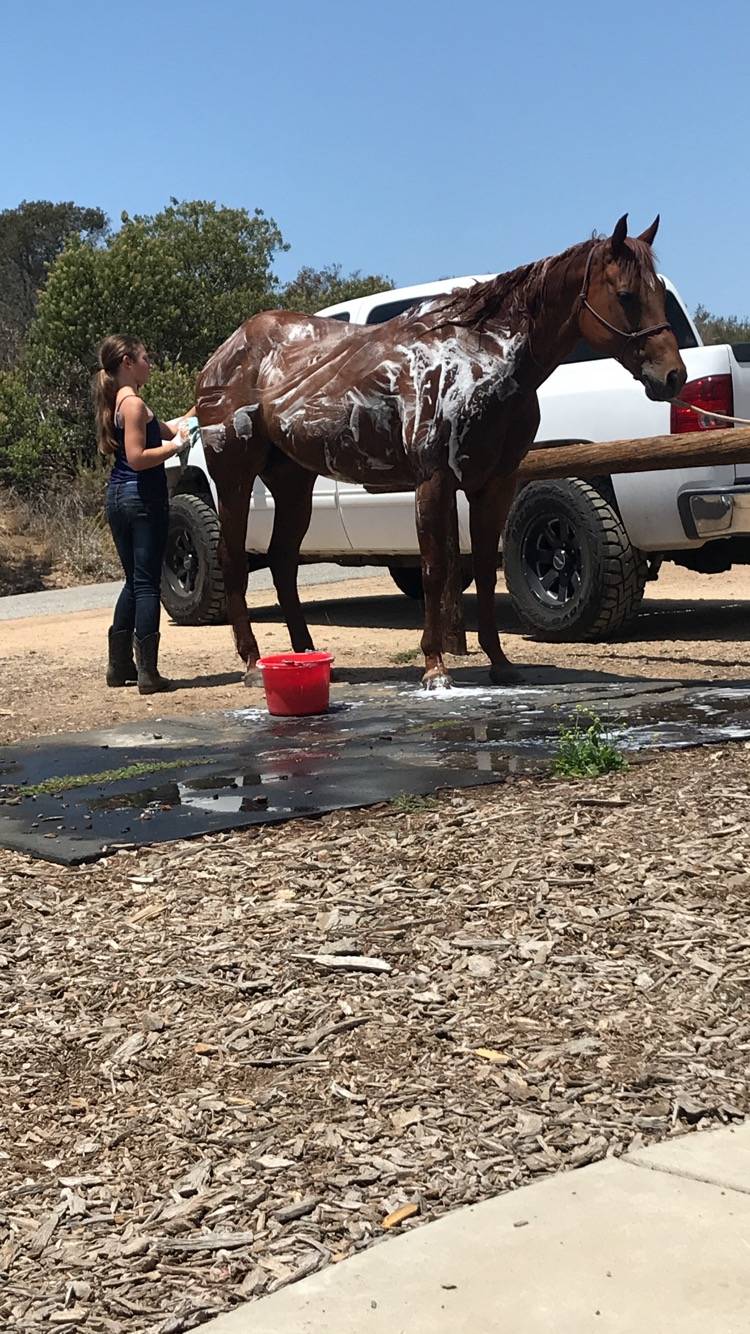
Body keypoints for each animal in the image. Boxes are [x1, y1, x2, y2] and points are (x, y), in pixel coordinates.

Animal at [192, 217, 683, 688]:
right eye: (626, 295)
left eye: (659, 294)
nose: (672, 376)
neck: (480, 358)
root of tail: (223, 355)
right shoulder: (434, 481)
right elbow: (435, 569)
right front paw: (435, 667)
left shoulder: (494, 485)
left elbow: (482, 570)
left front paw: (500, 663)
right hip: (233, 479)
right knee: (234, 560)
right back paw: (253, 663)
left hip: (293, 484)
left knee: (282, 563)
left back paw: (308, 657)